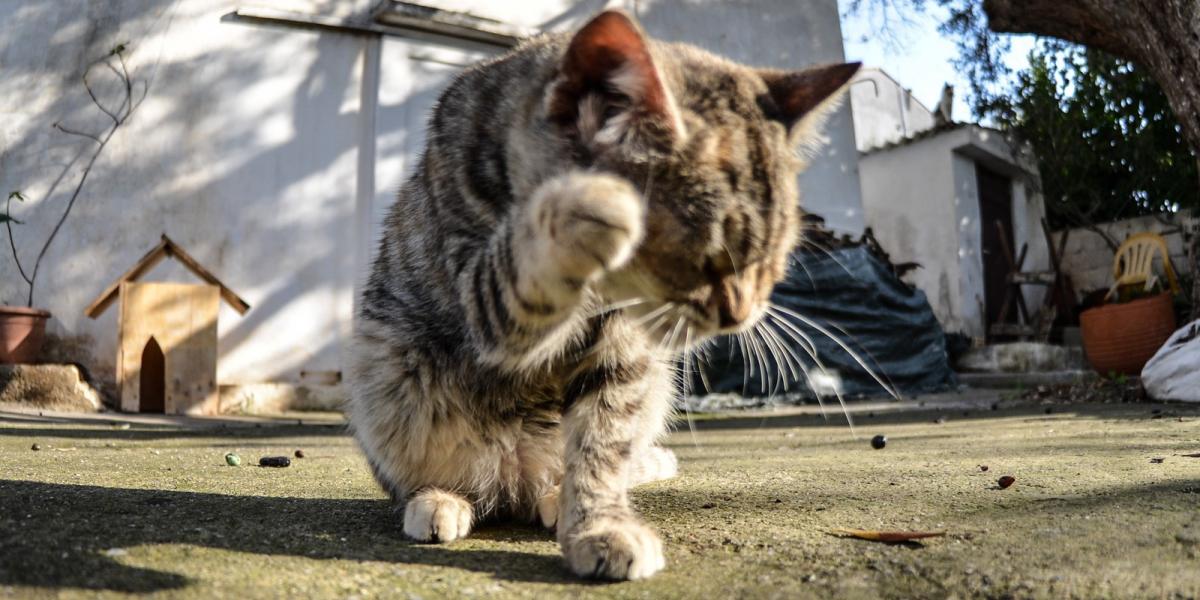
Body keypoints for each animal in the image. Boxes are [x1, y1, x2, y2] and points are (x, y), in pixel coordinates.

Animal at [348, 10, 864, 580]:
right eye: (707, 256)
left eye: (774, 258)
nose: (739, 314)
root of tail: (512, 477)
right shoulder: (474, 298)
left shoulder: (625, 357)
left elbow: (602, 447)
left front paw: (598, 525)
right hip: (385, 373)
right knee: (425, 478)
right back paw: (439, 498)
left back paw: (556, 494)